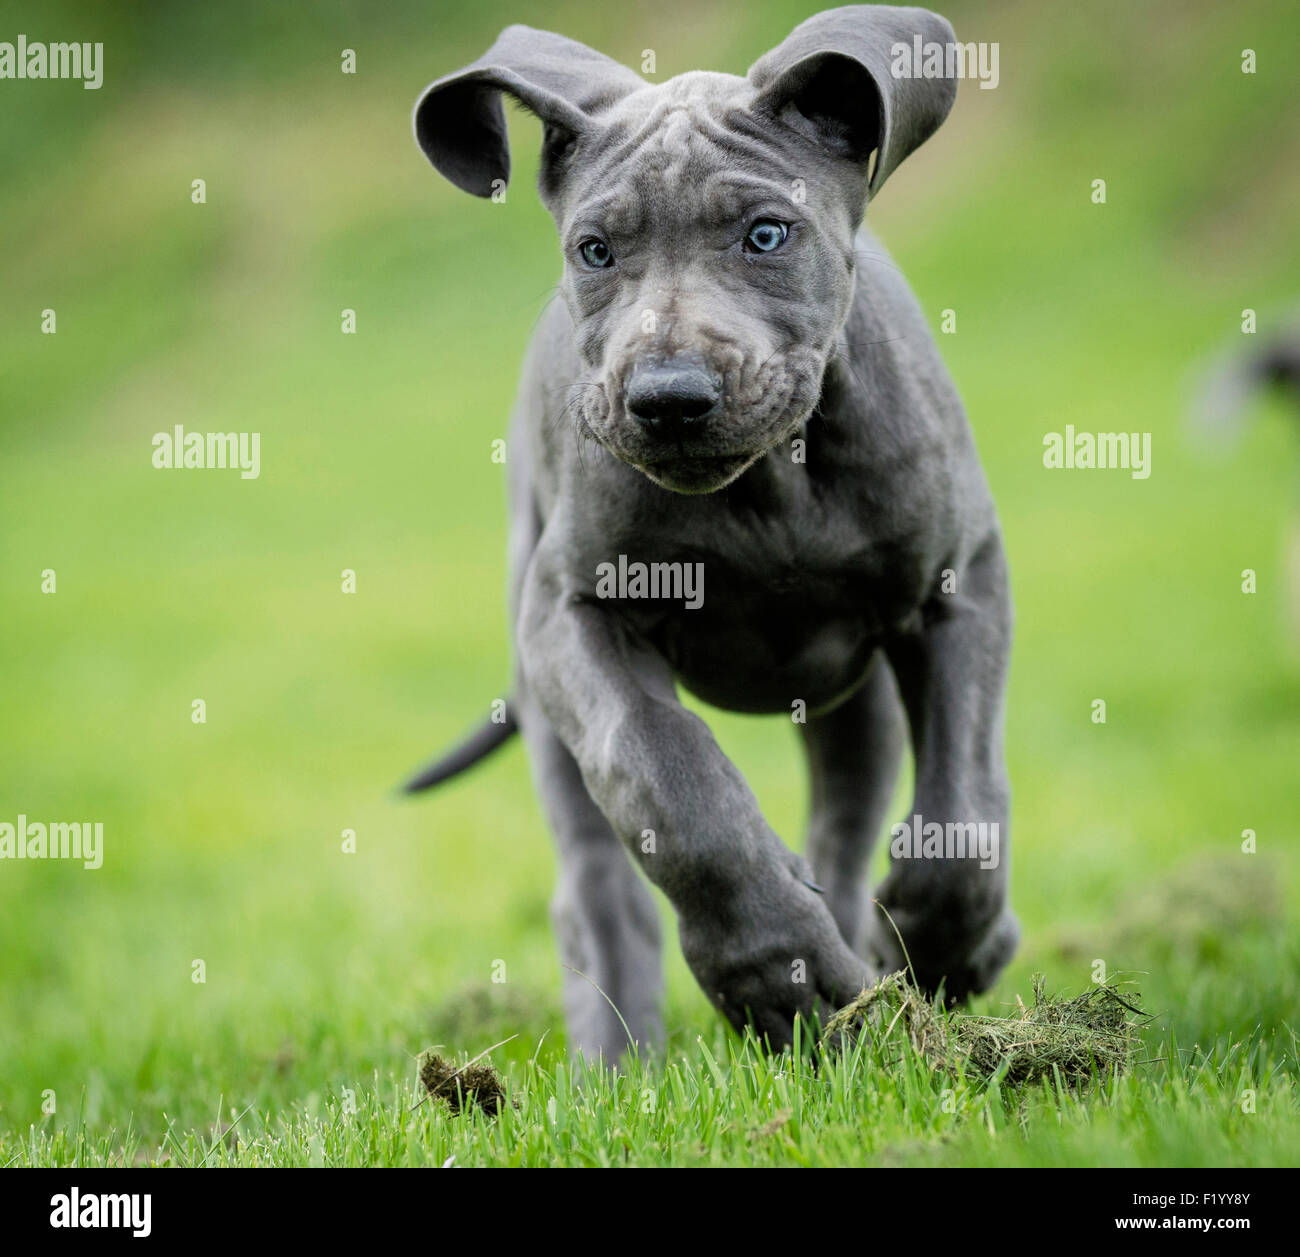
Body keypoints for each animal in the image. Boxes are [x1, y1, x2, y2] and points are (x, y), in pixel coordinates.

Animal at [403, 4, 1013, 1060]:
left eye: (766, 234)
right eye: (595, 251)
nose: (669, 398)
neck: (771, 484)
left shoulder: (959, 583)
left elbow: (965, 797)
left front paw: (945, 941)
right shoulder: (573, 613)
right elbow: (668, 776)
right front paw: (775, 968)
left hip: (854, 698)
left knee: (847, 820)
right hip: (544, 690)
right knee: (599, 890)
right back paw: (620, 1068)